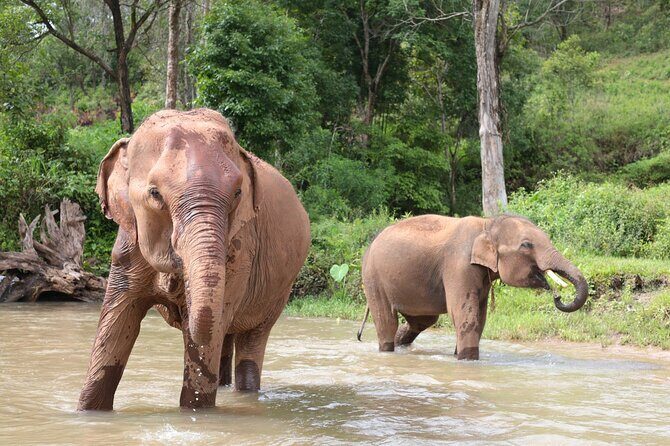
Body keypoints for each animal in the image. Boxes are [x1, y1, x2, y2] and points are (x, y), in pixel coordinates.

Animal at [77, 109, 310, 410]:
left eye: (237, 193)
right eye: (155, 193)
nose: (178, 298)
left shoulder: (239, 251)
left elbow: (207, 336)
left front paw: (196, 411)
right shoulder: (128, 247)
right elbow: (117, 322)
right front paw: (86, 412)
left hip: (279, 290)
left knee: (250, 341)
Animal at [359, 214, 588, 360]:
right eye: (526, 245)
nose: (557, 297)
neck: (487, 224)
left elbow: (481, 317)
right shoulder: (458, 265)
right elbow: (465, 316)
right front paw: (467, 361)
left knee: (422, 321)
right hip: (372, 278)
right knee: (387, 321)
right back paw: (388, 350)